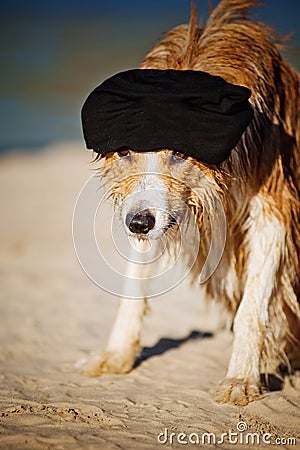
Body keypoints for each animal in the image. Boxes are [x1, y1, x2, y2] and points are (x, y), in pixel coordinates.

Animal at [80, 0, 300, 406]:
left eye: (181, 153)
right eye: (125, 150)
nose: (138, 225)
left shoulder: (273, 205)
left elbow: (252, 306)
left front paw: (241, 379)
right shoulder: (147, 208)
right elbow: (132, 287)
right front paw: (116, 355)